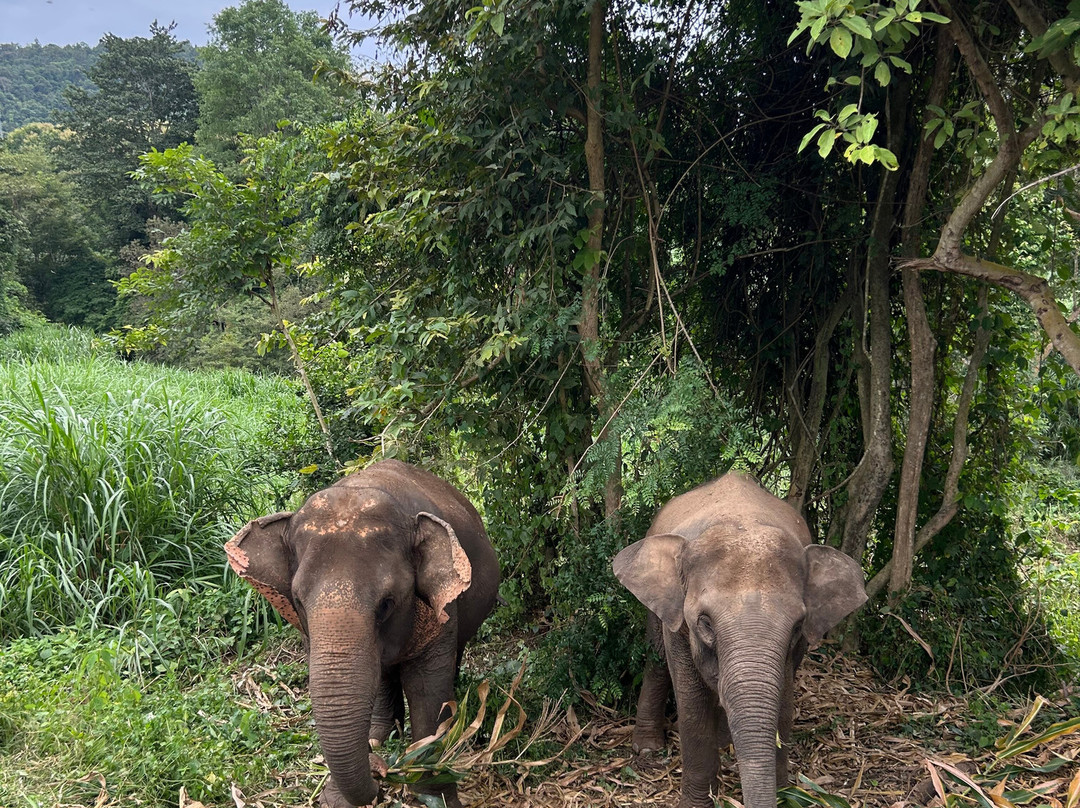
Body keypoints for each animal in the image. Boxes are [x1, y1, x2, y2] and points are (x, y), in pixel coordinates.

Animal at [225, 459, 500, 808]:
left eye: (386, 603)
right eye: (297, 600)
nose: (380, 772)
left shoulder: (442, 611)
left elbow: (426, 689)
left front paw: (434, 791)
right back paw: (381, 735)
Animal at [612, 472, 867, 808]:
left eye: (798, 625)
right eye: (705, 622)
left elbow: (782, 703)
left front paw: (785, 795)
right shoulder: (680, 629)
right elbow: (692, 703)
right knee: (656, 658)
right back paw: (648, 748)